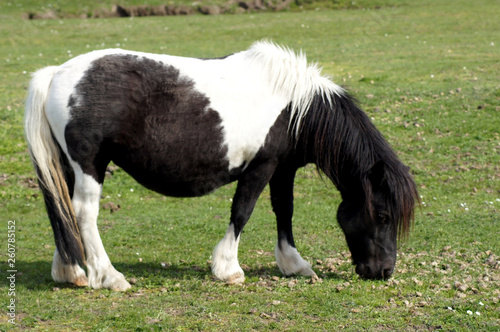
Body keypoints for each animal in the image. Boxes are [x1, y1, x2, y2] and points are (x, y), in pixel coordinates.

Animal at [24, 41, 418, 290]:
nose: (384, 271)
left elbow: (284, 210)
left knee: (61, 211)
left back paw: (70, 270)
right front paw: (228, 269)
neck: (295, 108)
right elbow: (242, 211)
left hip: (66, 166)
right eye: (383, 216)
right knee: (83, 213)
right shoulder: (261, 166)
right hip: (90, 164)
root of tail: (56, 73)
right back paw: (108, 276)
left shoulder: (282, 168)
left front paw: (294, 264)